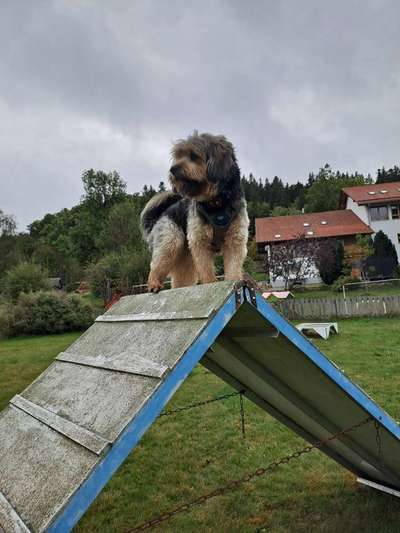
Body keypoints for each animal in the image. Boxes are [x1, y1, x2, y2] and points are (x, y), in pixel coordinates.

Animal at [139, 132, 248, 290]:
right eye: (178, 156)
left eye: (194, 156)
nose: (172, 169)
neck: (216, 202)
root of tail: (161, 215)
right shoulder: (199, 242)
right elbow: (206, 270)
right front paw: (210, 284)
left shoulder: (235, 241)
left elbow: (233, 268)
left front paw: (235, 282)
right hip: (170, 241)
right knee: (155, 265)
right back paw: (154, 284)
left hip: (185, 260)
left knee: (179, 281)